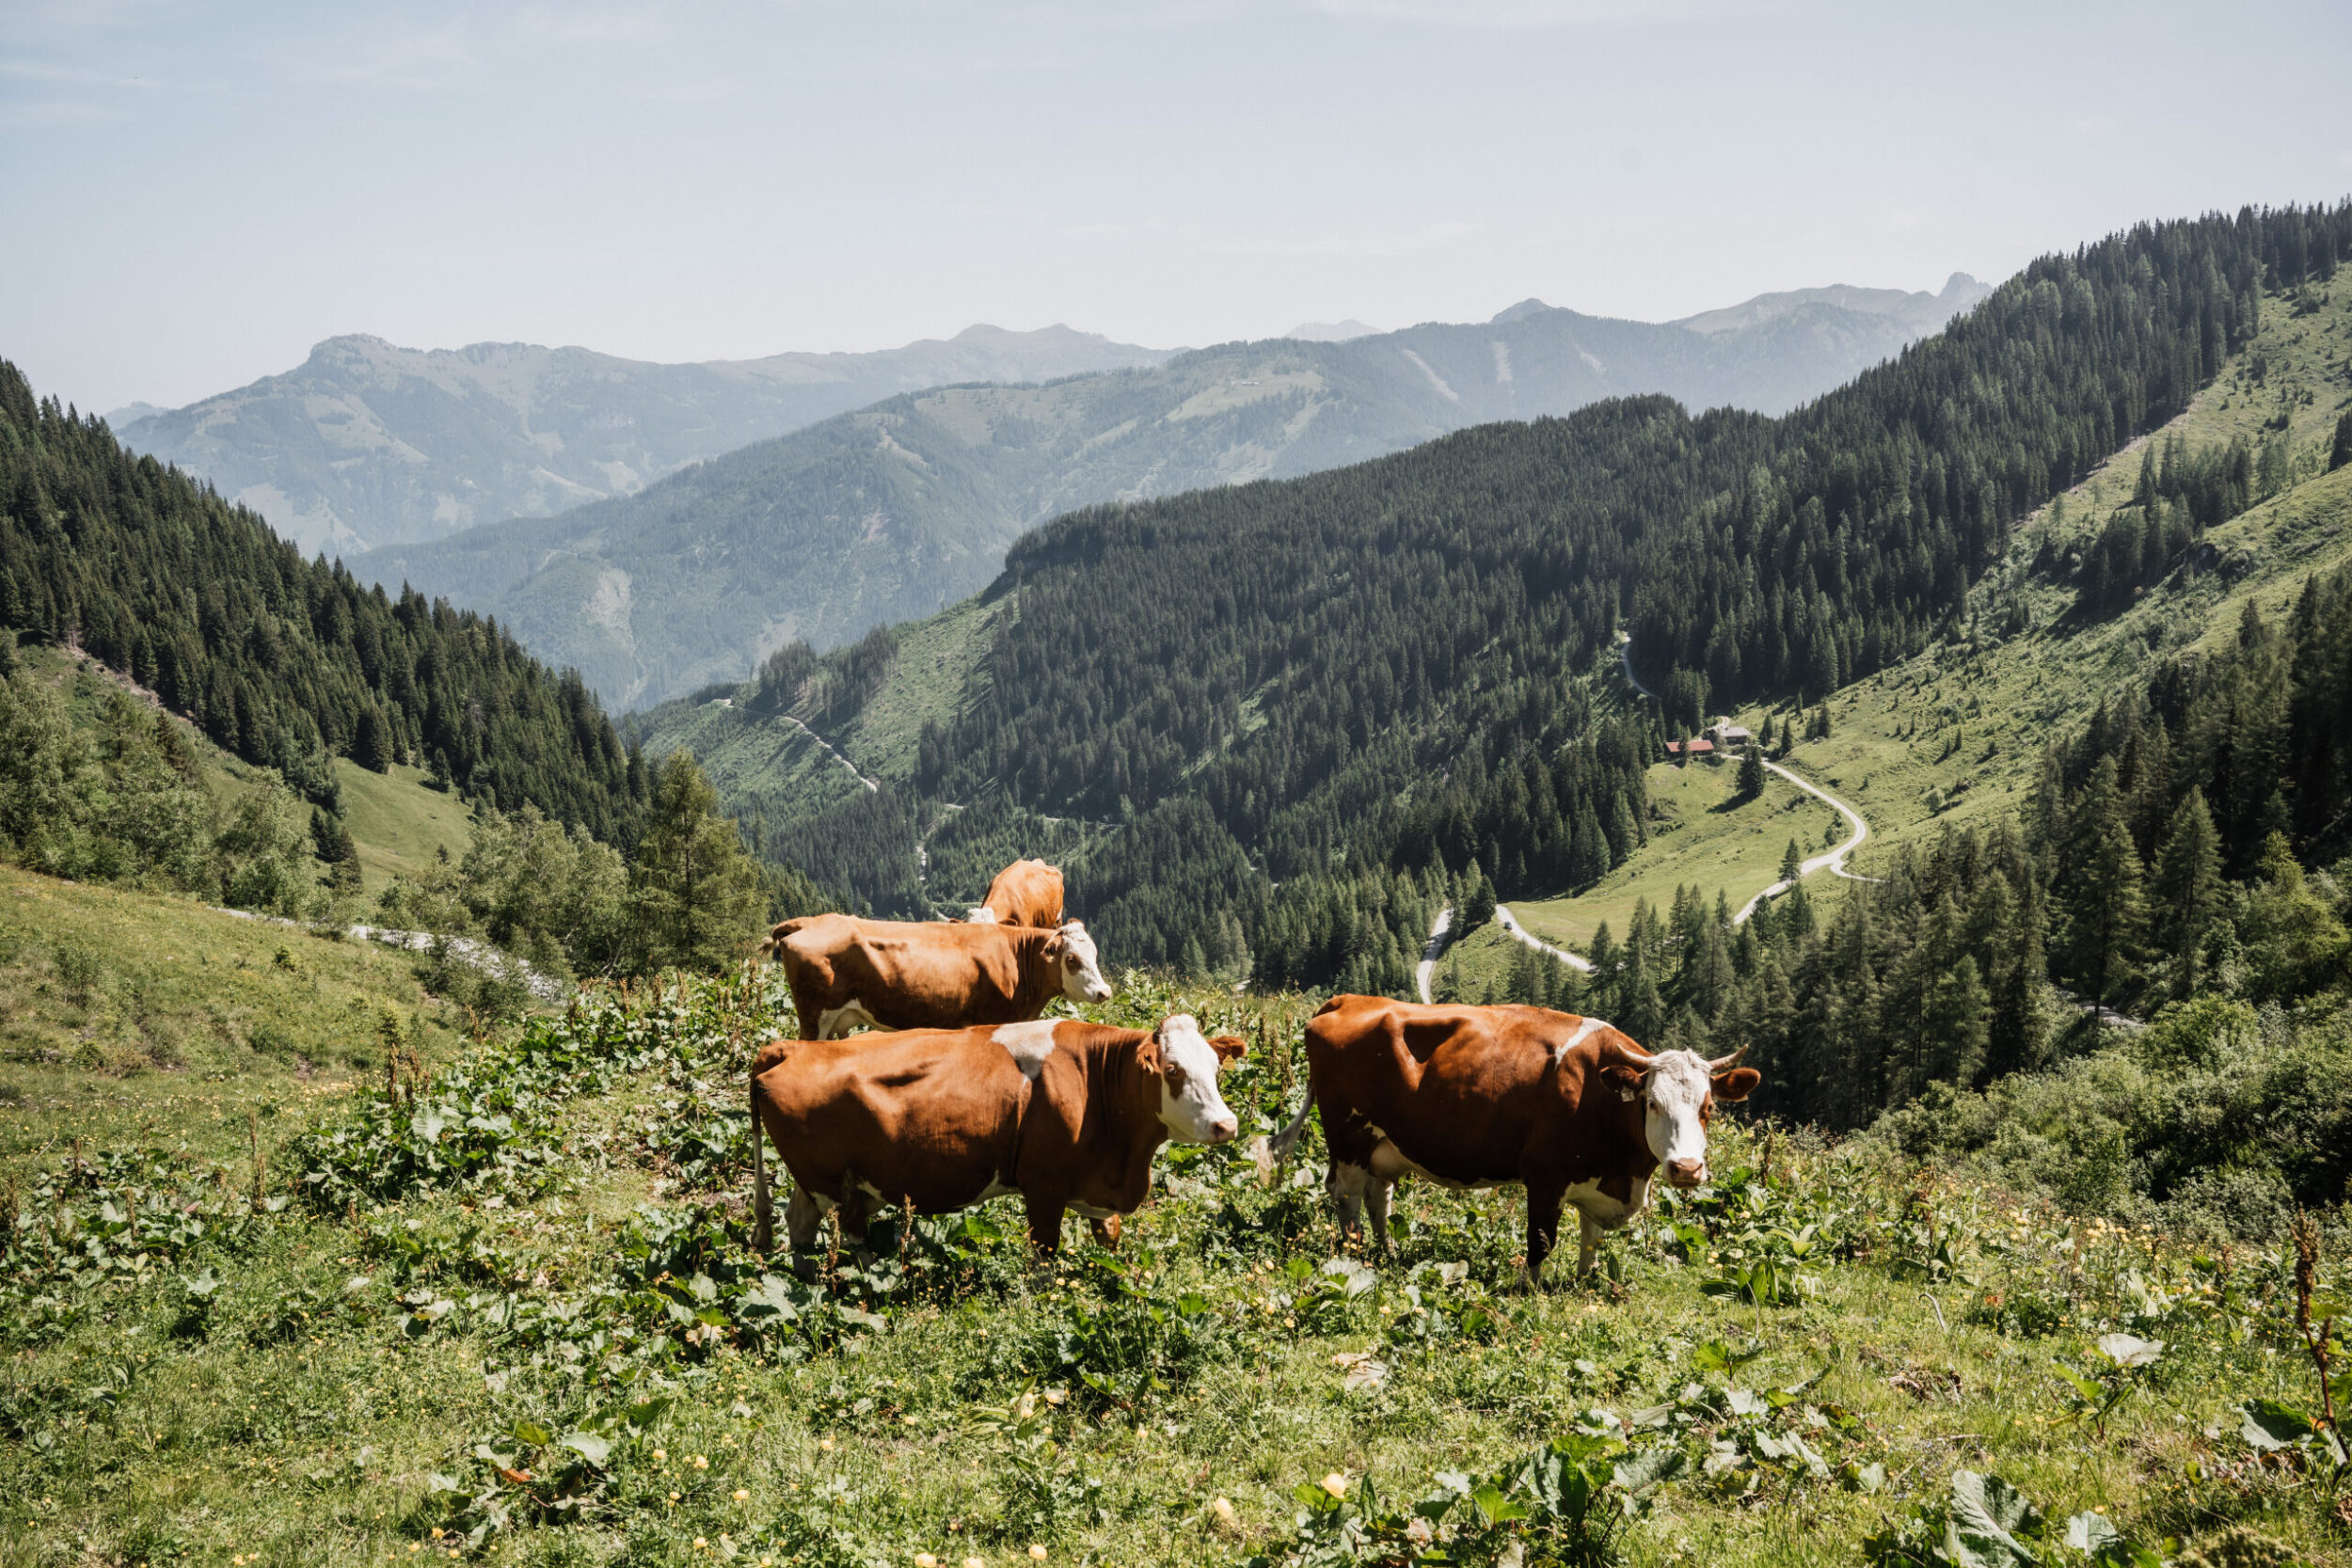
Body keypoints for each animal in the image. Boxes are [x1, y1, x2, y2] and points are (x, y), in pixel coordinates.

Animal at [749, 1014, 1246, 1254]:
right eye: (1173, 1070)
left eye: (1216, 1067)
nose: (1227, 1125)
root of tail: (794, 1048)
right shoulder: (1043, 1186)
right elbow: (1045, 1256)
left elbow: (1110, 1240)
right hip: (830, 1182)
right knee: (847, 1232)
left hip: (827, 1182)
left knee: (799, 1223)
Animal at [1258, 995, 1759, 1285]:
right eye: (1652, 1103)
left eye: (1708, 1107)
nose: (1687, 1169)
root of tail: (1344, 1000)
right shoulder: (1544, 1176)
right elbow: (1542, 1242)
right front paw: (1531, 1291)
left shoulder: (1596, 1183)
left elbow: (1590, 1240)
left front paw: (1585, 1283)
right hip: (1349, 1134)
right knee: (1346, 1196)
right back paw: (1356, 1256)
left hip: (1386, 1144)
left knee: (1378, 1195)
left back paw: (1388, 1253)